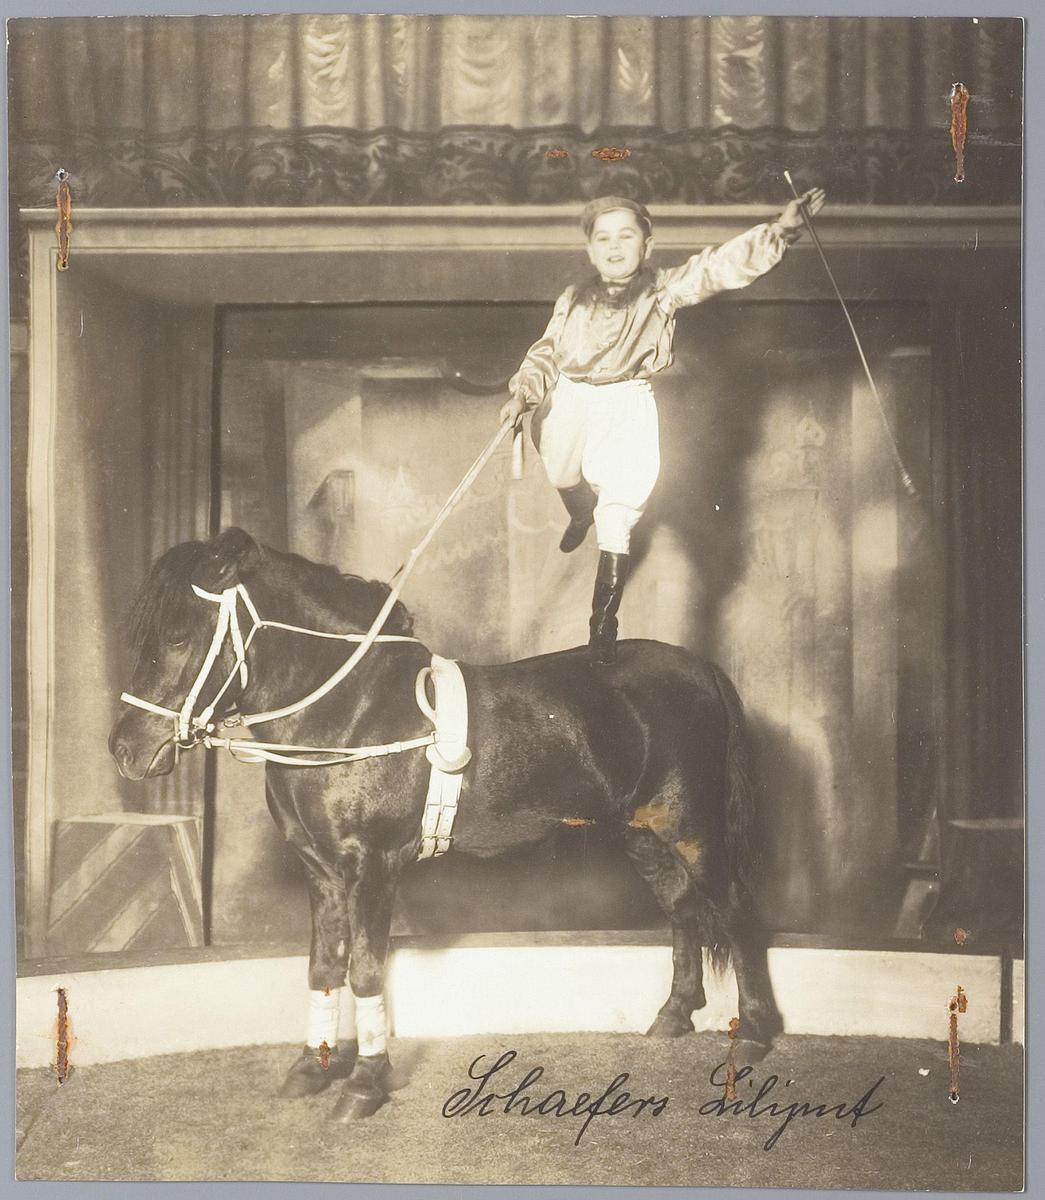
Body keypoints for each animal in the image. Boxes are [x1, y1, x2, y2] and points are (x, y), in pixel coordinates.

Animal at [109, 527, 781, 1122]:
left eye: (177, 637)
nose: (125, 750)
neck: (348, 712)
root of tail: (702, 670)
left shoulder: (373, 866)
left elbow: (365, 970)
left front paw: (364, 1086)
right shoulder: (320, 871)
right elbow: (323, 967)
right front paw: (310, 1069)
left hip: (695, 830)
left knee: (736, 914)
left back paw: (753, 1035)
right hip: (643, 835)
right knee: (683, 911)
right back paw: (672, 1016)